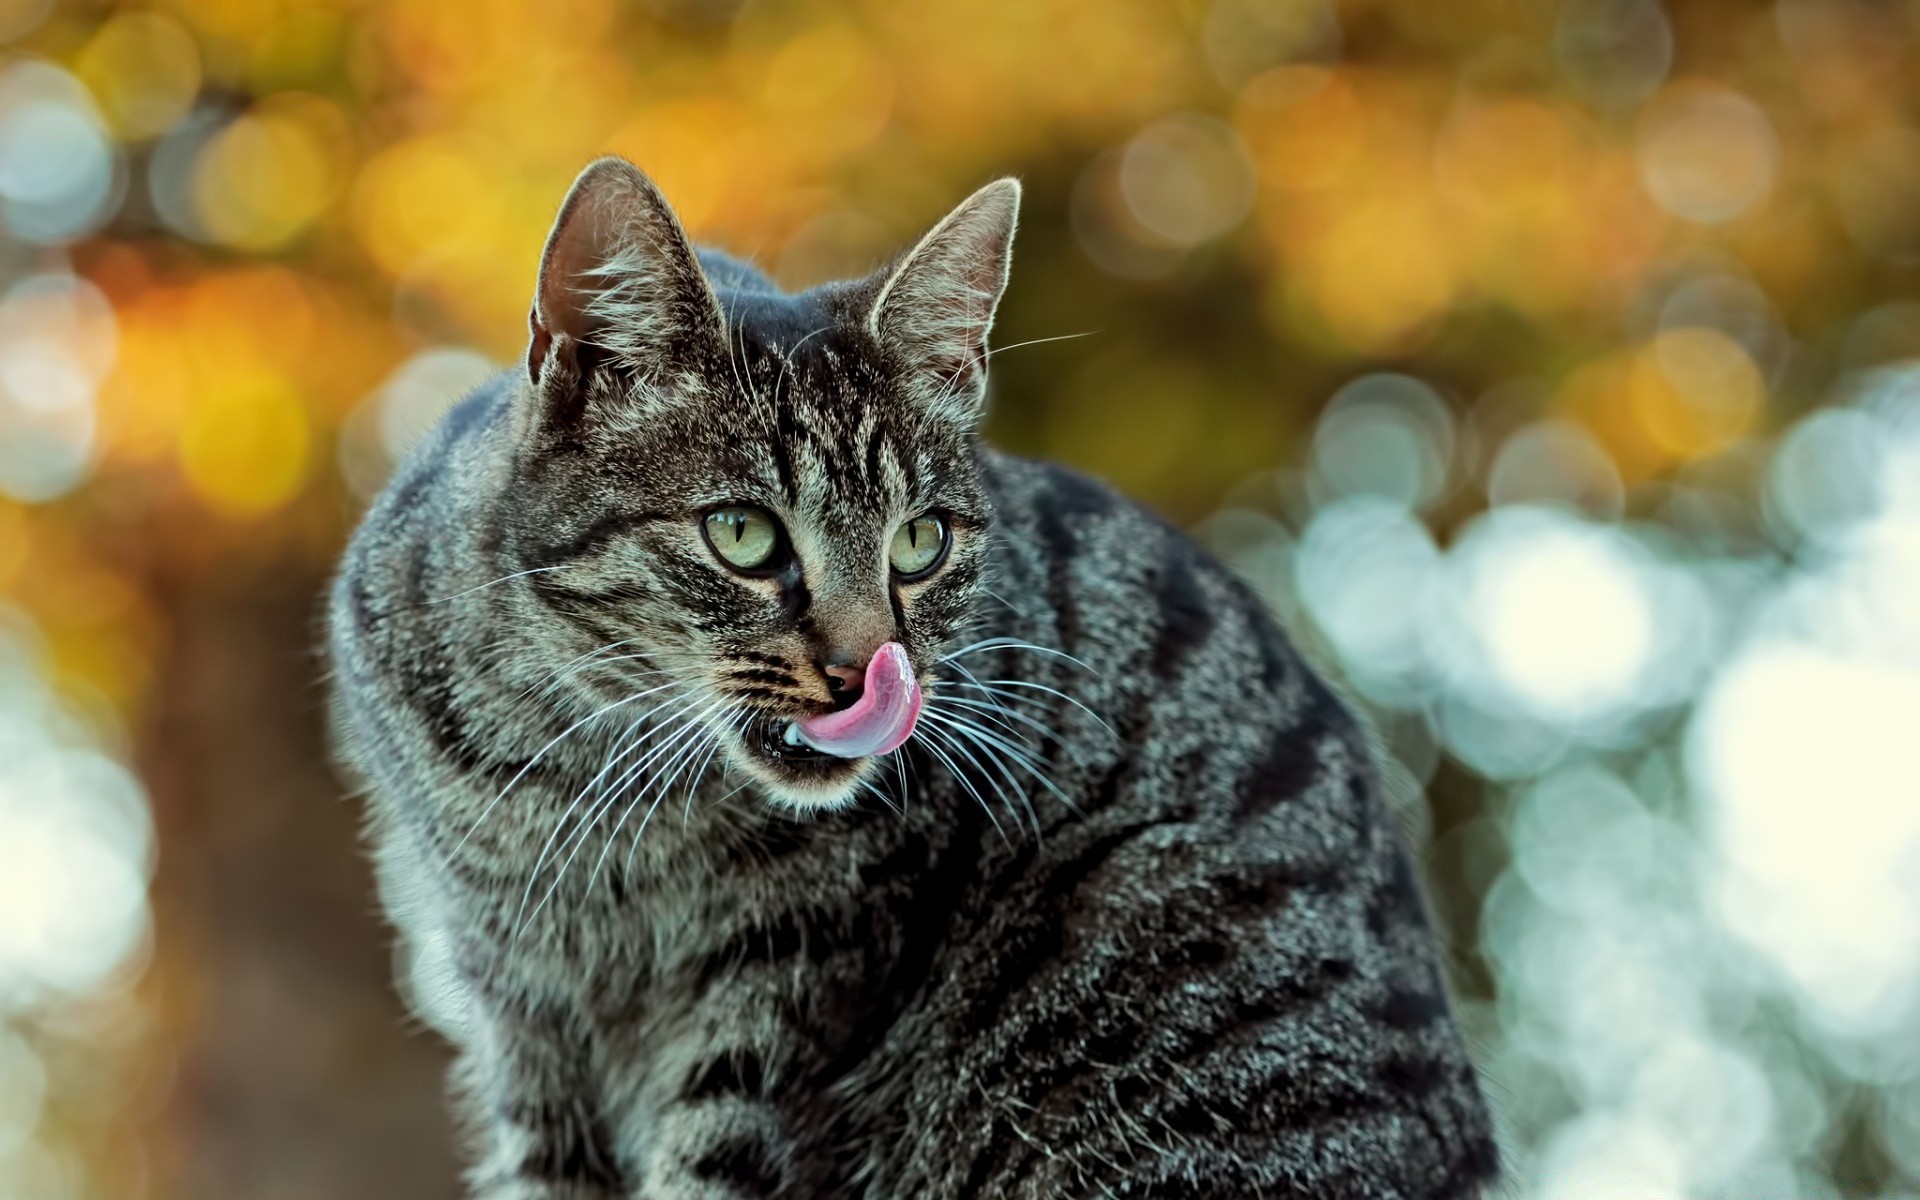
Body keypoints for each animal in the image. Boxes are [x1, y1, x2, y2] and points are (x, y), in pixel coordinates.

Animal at [330, 159, 1497, 1198]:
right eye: (743, 534)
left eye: (920, 542)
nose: (866, 674)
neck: (569, 761)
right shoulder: (524, 1029)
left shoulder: (785, 996)